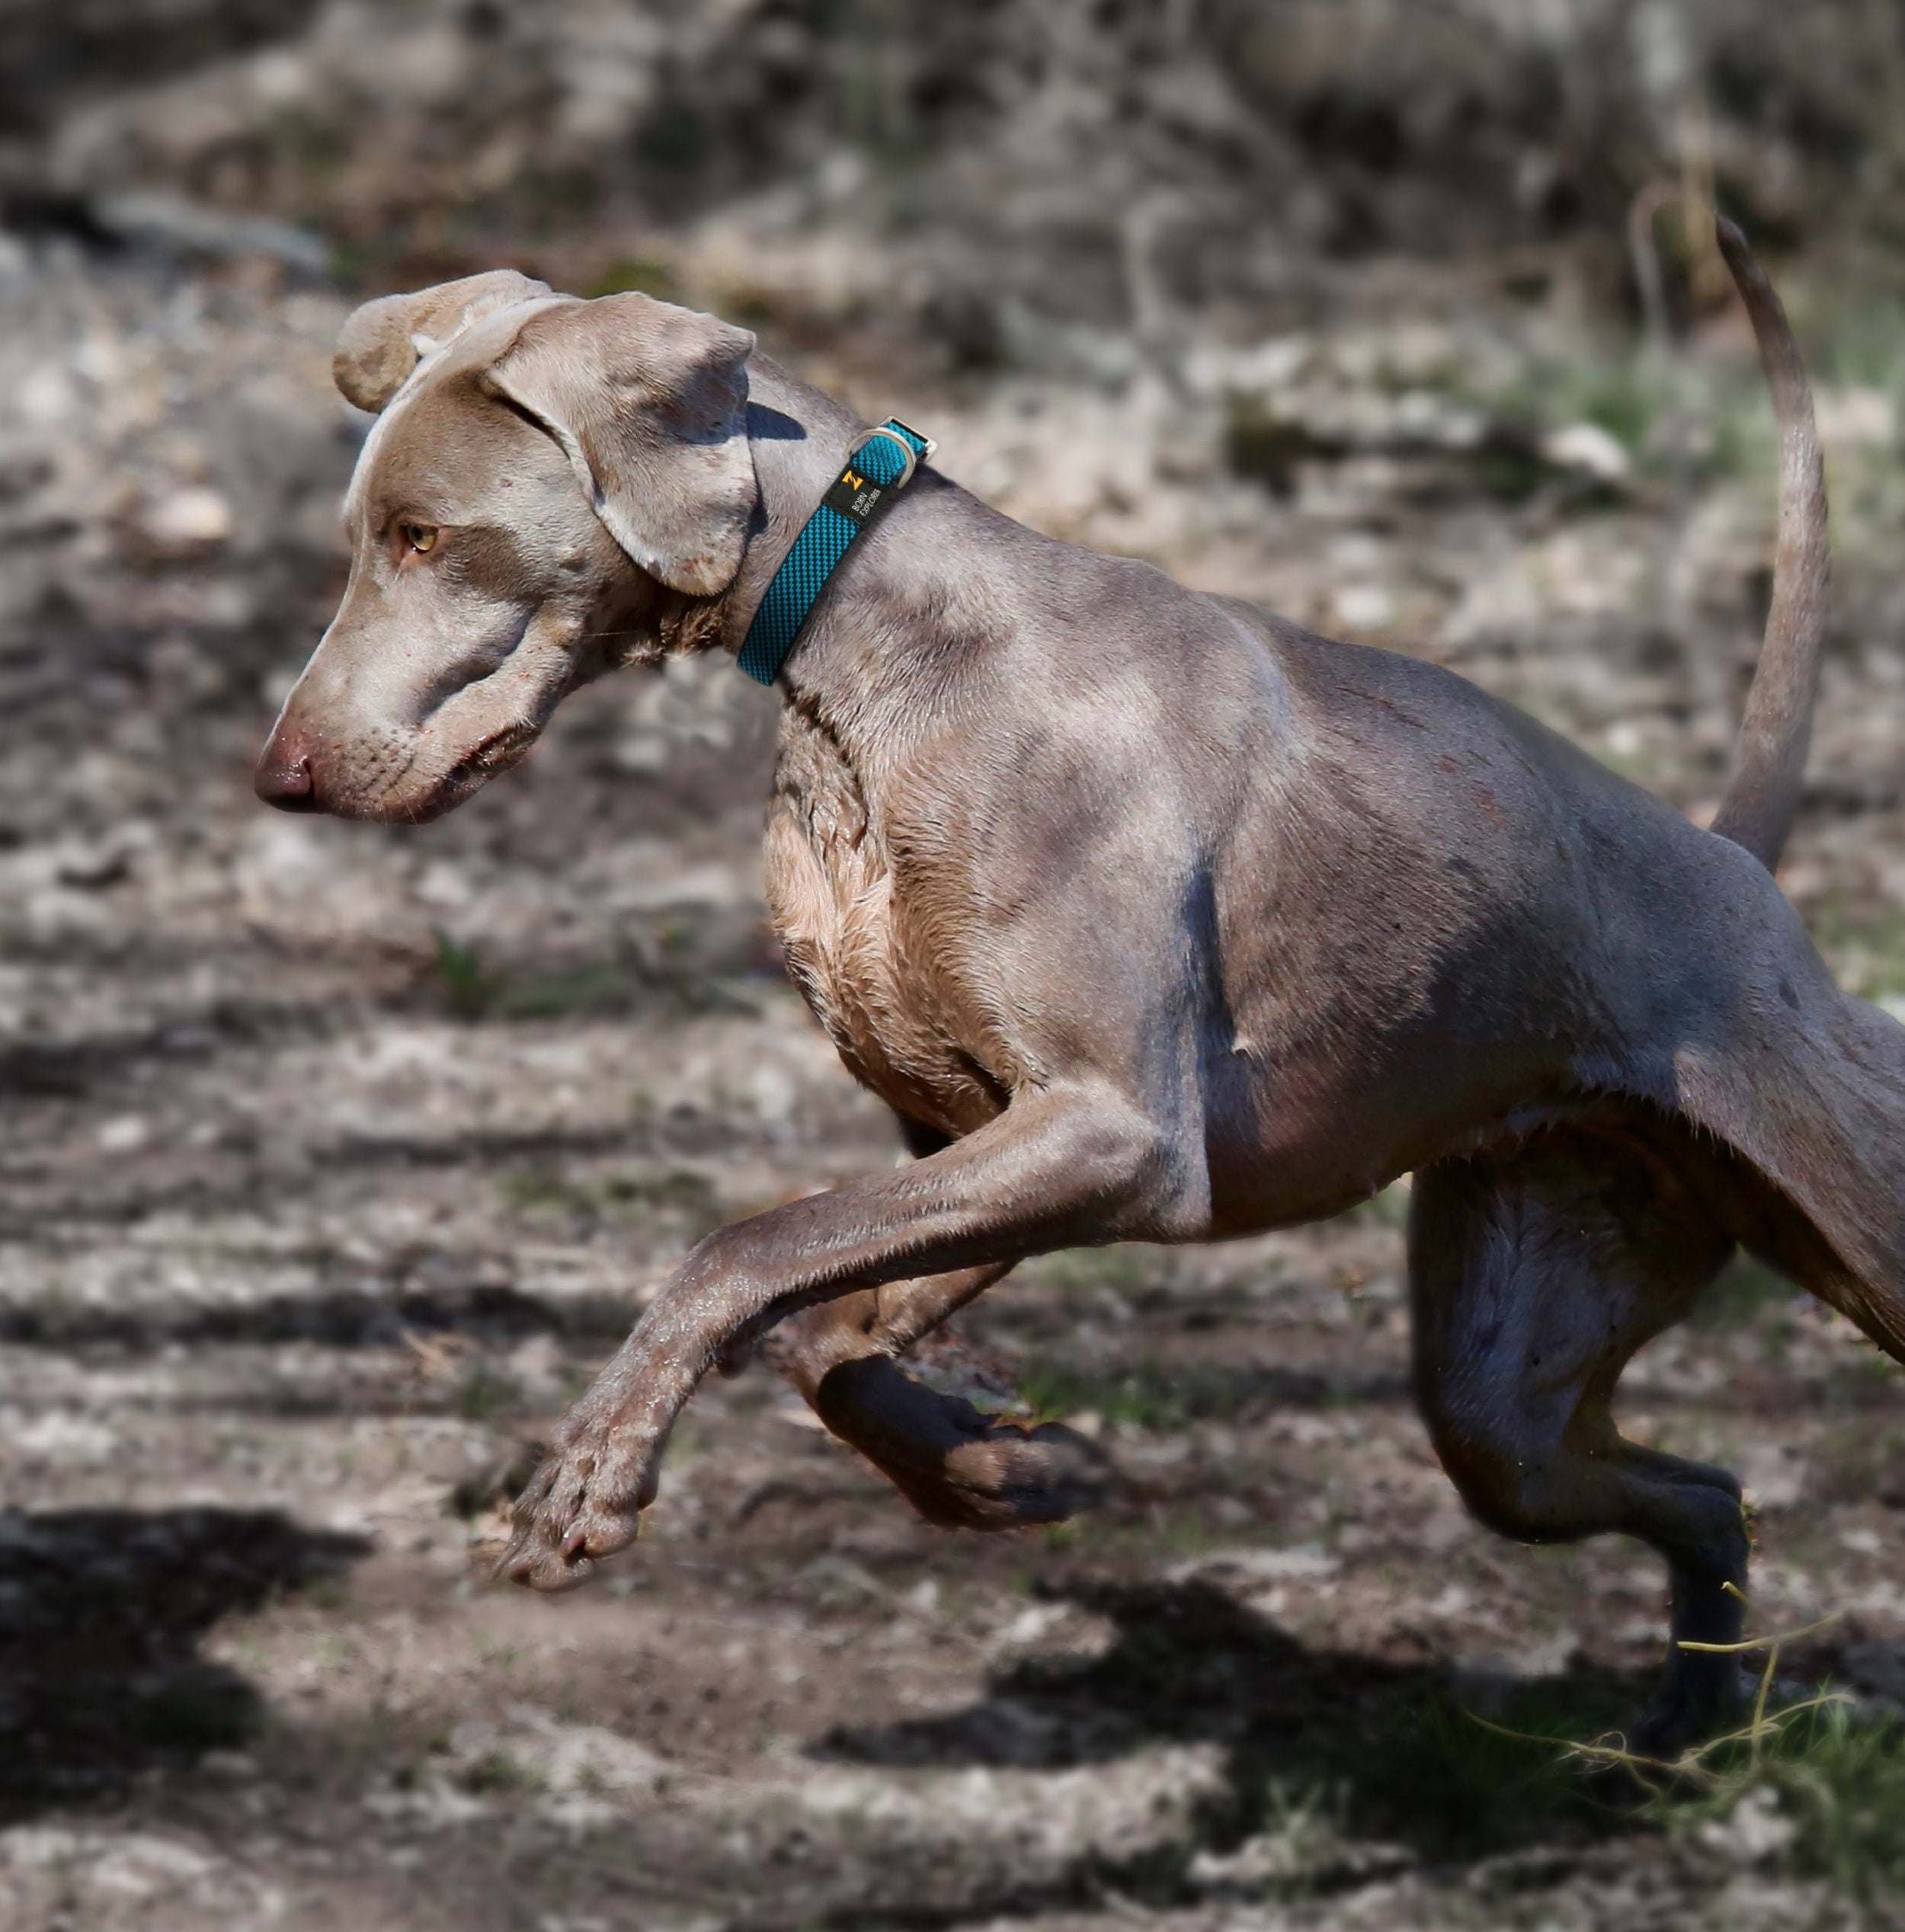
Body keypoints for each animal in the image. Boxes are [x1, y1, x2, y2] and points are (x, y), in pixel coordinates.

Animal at [255, 219, 1905, 1751]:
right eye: (367, 533)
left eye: (423, 536)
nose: (280, 774)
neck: (869, 646)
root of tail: (1734, 860)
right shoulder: (974, 1134)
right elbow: (818, 1322)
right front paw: (988, 1464)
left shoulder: (1119, 1134)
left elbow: (741, 1247)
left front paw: (593, 1470)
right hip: (1509, 1386)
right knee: (1700, 1487)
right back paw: (1687, 1724)